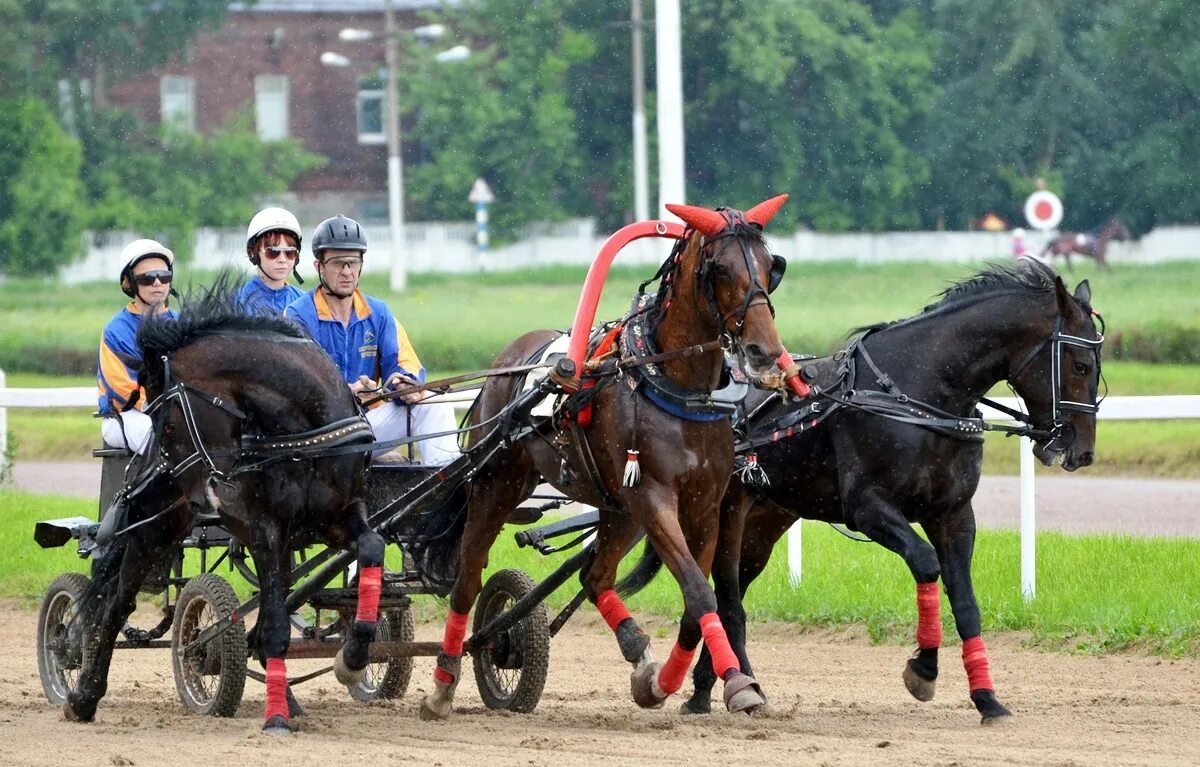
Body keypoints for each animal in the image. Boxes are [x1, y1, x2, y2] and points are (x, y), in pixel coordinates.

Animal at [63, 285, 381, 734]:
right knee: (114, 607)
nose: (205, 496)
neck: (305, 436)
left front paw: (353, 657)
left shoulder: (337, 516)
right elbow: (276, 627)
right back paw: (84, 695)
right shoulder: (264, 527)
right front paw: (276, 717)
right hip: (152, 529)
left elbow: (371, 547)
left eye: (168, 420)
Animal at [422, 196, 796, 720]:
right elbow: (699, 590)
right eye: (720, 268)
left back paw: (637, 653)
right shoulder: (654, 500)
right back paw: (443, 683)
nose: (764, 351)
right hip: (500, 483)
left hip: (617, 508)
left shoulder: (704, 506)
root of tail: (509, 360)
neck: (671, 384)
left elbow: (697, 602)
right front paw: (729, 683)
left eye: (770, 265)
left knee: (595, 576)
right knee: (468, 578)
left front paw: (665, 681)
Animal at [628, 258, 1104, 724]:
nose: (1081, 450)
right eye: (1080, 364)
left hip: (765, 521)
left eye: (1097, 366)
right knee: (727, 598)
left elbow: (967, 603)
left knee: (733, 589)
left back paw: (706, 690)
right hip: (726, 507)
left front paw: (987, 699)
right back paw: (742, 687)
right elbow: (925, 563)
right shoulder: (869, 508)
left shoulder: (952, 515)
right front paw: (923, 669)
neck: (914, 395)